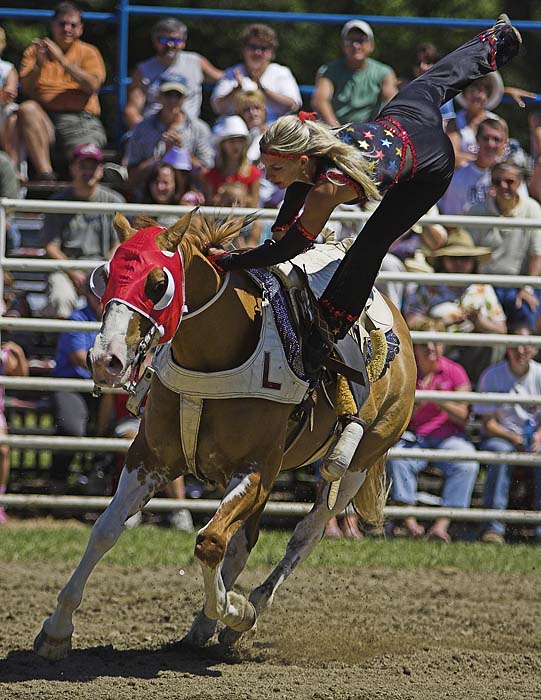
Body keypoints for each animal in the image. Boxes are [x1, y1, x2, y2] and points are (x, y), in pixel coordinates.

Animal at [32, 211, 414, 660]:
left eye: (157, 284)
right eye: (105, 276)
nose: (104, 360)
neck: (214, 355)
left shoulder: (256, 470)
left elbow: (210, 542)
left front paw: (238, 611)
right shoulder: (149, 457)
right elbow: (106, 529)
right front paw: (57, 629)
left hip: (355, 465)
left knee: (306, 533)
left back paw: (245, 613)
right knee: (245, 541)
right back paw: (203, 626)